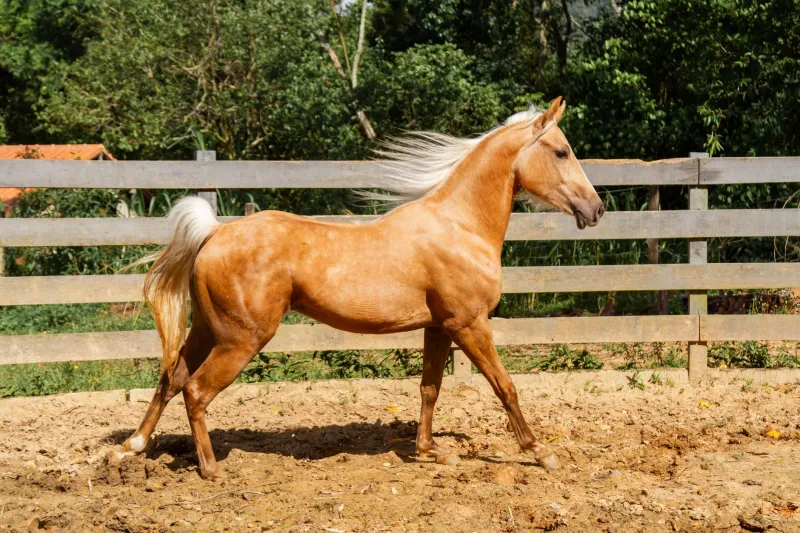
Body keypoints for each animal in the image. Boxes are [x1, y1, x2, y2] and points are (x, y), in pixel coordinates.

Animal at [120, 97, 604, 480]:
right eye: (561, 151)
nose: (596, 208)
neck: (460, 226)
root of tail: (215, 233)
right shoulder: (470, 325)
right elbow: (506, 387)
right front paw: (541, 454)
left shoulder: (438, 327)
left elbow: (429, 388)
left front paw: (431, 452)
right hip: (241, 339)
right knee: (196, 390)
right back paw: (211, 469)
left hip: (207, 329)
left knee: (170, 377)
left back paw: (132, 447)